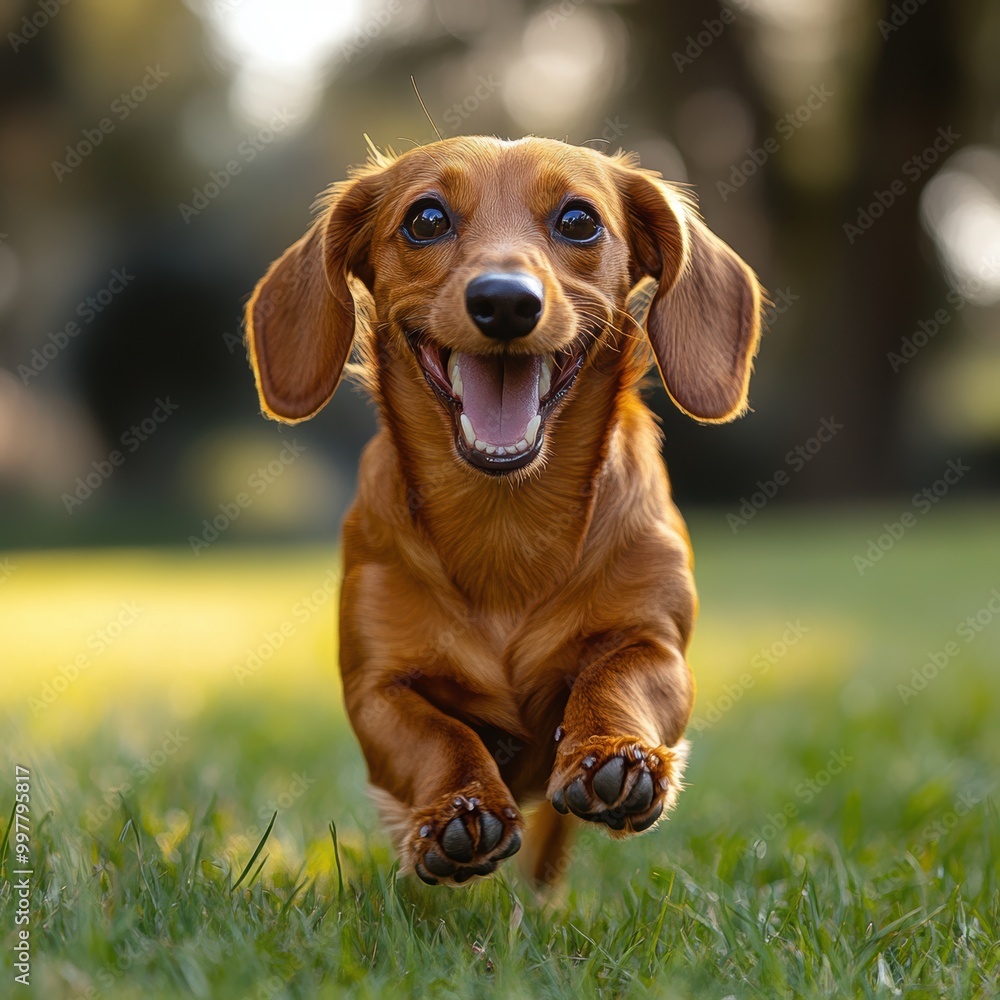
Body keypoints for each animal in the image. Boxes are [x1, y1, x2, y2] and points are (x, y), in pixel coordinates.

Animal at [246, 137, 760, 888]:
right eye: (426, 219)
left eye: (579, 220)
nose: (506, 301)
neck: (505, 524)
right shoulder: (376, 690)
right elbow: (441, 734)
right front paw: (458, 807)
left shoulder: (657, 642)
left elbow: (615, 675)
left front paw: (615, 752)